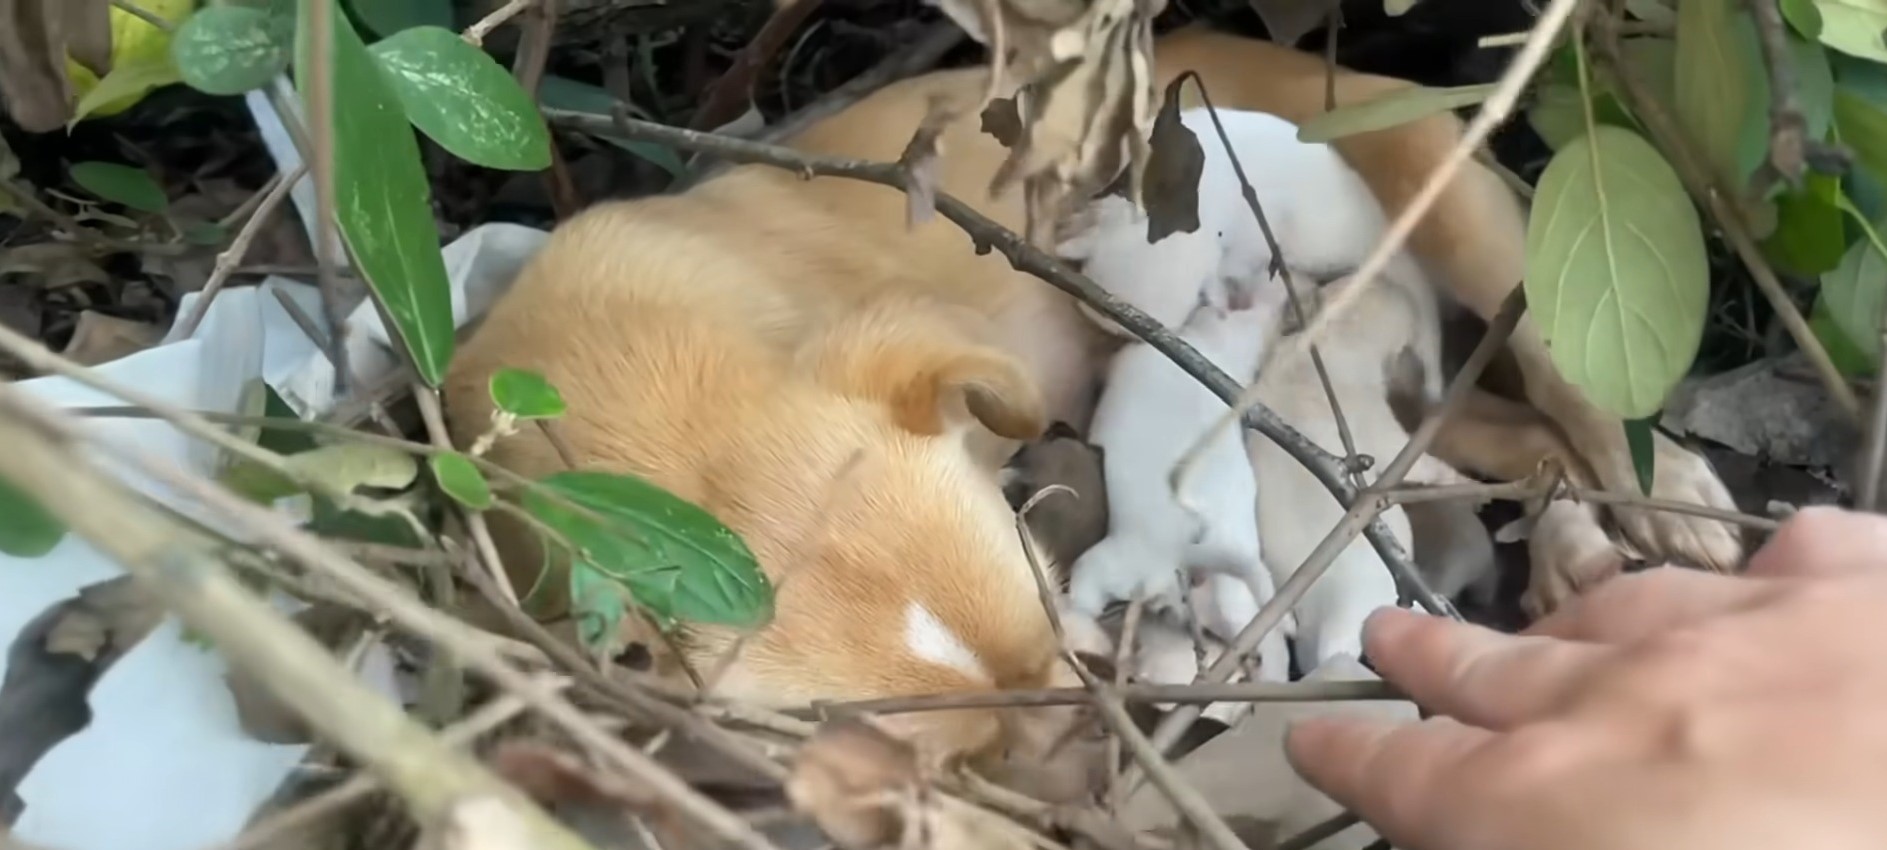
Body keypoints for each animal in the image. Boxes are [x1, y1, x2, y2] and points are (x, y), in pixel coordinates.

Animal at [441, 23, 1736, 785]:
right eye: (953, 759)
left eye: (1044, 591)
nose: (1099, 740)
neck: (657, 392)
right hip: (1389, 390)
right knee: (1507, 440)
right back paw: (1571, 546)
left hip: (1463, 213)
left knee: (1575, 382)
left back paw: (1672, 495)